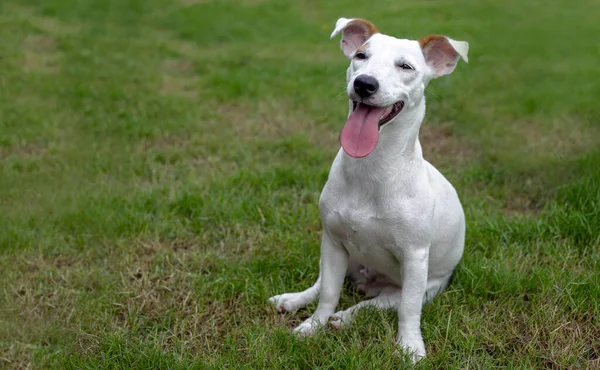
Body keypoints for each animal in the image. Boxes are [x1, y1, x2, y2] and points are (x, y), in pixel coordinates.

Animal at [268, 17, 468, 362]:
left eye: (405, 66)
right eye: (360, 55)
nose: (364, 84)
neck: (373, 167)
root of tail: (370, 282)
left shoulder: (415, 259)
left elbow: (408, 311)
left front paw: (410, 347)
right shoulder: (333, 242)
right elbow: (329, 292)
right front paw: (312, 326)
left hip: (427, 286)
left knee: (381, 304)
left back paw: (346, 317)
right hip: (343, 256)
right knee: (323, 285)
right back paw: (294, 300)